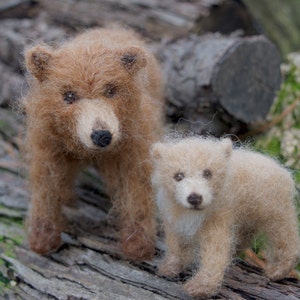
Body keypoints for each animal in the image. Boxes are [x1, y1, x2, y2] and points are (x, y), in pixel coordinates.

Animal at [23, 26, 164, 260]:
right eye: (69, 96)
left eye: (111, 90)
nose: (101, 135)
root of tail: (113, 27)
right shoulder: (49, 144)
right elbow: (46, 186)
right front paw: (42, 241)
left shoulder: (134, 143)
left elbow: (137, 192)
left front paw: (138, 247)